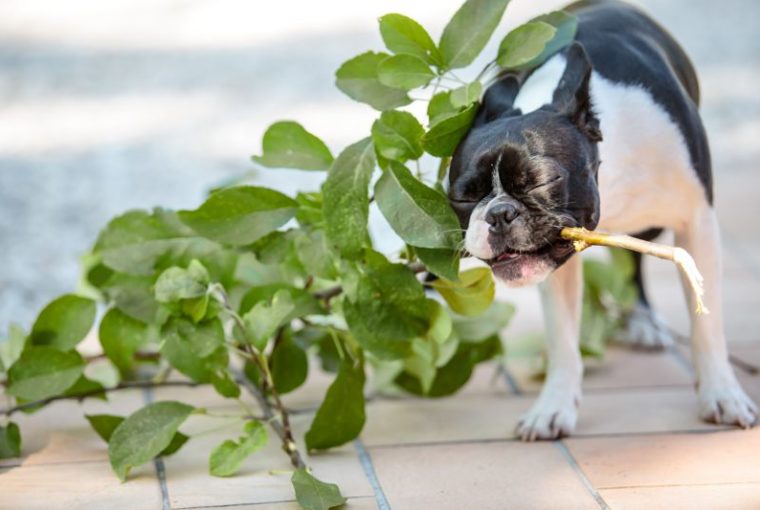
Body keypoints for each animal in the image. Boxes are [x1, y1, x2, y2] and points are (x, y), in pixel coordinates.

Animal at [448, 0, 756, 438]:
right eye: (464, 196)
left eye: (543, 180)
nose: (500, 213)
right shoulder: (554, 267)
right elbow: (562, 338)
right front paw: (554, 407)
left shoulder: (697, 222)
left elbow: (706, 324)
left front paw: (722, 394)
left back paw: (644, 321)